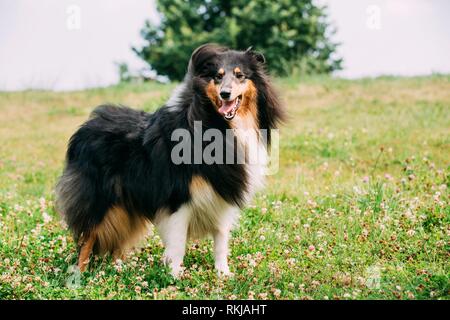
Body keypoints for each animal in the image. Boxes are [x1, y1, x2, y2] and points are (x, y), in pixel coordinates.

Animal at [54, 43, 284, 278]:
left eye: (240, 75)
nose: (225, 94)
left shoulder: (222, 195)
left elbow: (221, 239)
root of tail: (83, 128)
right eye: (217, 77)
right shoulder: (178, 197)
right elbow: (178, 243)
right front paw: (173, 276)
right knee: (87, 238)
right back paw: (79, 274)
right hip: (100, 199)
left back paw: (119, 269)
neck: (219, 125)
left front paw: (223, 274)